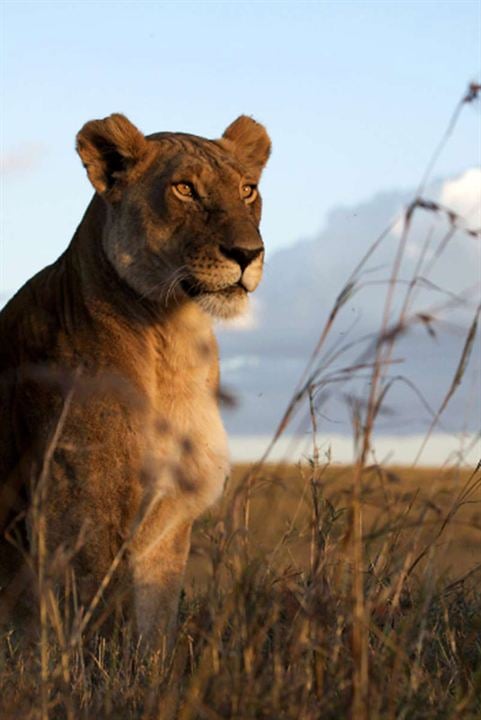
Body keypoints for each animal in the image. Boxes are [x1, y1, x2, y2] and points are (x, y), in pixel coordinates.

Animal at [0, 114, 270, 648]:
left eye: (248, 190)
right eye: (185, 189)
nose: (248, 253)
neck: (175, 342)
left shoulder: (168, 526)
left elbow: (154, 637)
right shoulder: (84, 518)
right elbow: (97, 632)